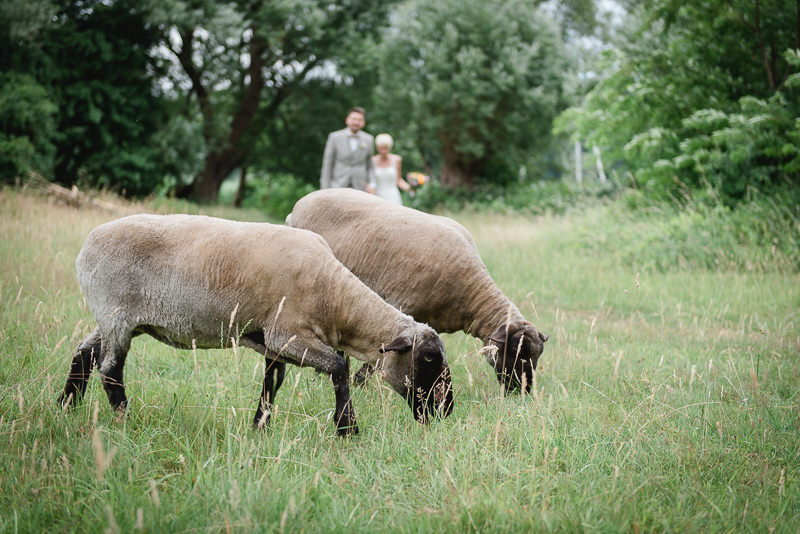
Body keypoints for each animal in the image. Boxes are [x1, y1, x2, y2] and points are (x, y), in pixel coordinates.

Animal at [59, 216, 454, 438]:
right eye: (428, 359)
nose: (446, 410)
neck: (335, 298)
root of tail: (85, 248)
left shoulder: (272, 342)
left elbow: (271, 383)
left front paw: (259, 427)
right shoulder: (287, 333)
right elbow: (340, 367)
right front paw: (348, 430)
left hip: (117, 319)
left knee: (84, 353)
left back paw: (66, 406)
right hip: (117, 315)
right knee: (110, 369)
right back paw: (123, 418)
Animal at [288, 188, 552, 394]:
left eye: (536, 358)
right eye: (515, 354)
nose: (521, 392)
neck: (470, 295)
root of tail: (300, 204)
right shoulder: (399, 307)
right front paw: (360, 384)